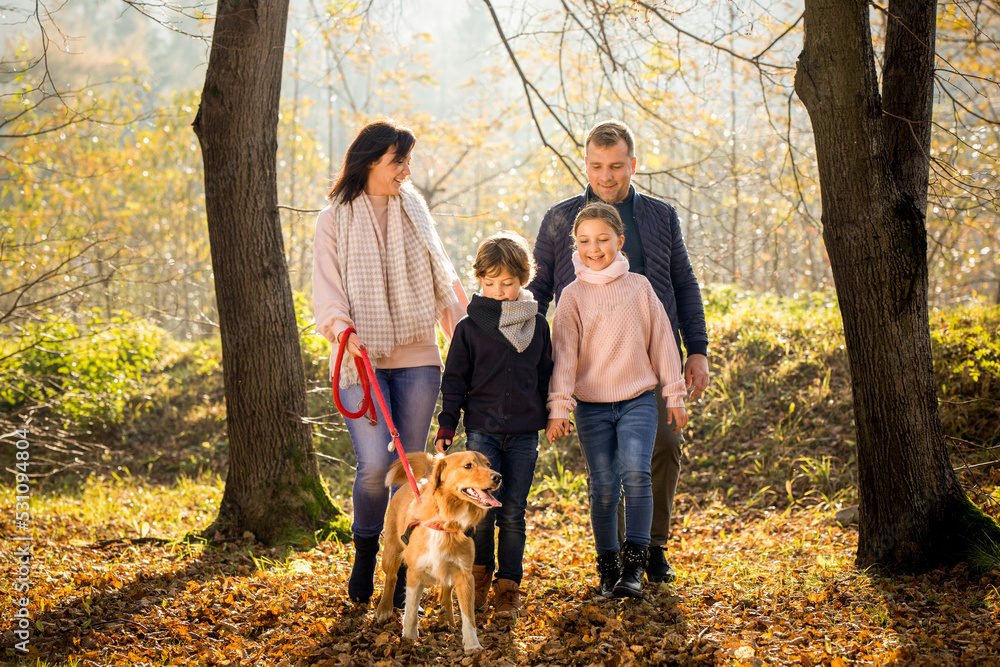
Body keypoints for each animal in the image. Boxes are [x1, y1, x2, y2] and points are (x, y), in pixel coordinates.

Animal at [374, 448, 500, 652]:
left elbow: (468, 615)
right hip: (391, 552)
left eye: (488, 464)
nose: (498, 477)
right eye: (468, 466)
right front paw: (409, 638)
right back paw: (384, 609)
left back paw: (447, 619)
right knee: (391, 578)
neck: (447, 522)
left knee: (446, 591)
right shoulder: (415, 572)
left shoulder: (465, 575)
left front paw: (472, 645)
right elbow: (411, 610)